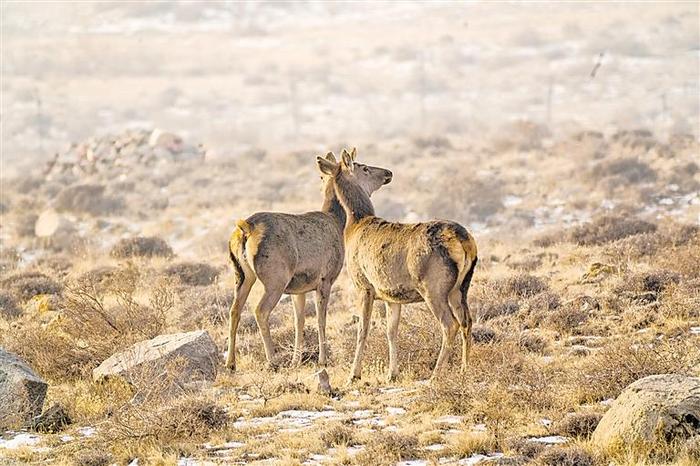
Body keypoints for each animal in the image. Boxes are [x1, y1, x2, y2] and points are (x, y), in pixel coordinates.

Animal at [226, 152, 394, 372]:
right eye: (364, 168)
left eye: (320, 178)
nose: (388, 173)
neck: (338, 222)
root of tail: (245, 229)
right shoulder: (326, 278)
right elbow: (321, 319)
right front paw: (323, 359)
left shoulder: (299, 288)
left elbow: (300, 321)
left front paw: (296, 360)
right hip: (275, 278)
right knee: (260, 310)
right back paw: (273, 361)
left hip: (242, 275)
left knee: (234, 310)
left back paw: (230, 363)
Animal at [316, 148, 476, 382]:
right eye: (365, 168)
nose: (388, 172)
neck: (354, 226)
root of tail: (464, 240)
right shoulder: (391, 295)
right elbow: (391, 331)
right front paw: (392, 374)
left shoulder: (364, 284)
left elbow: (363, 330)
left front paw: (354, 375)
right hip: (461, 287)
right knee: (467, 321)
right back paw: (465, 369)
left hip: (434, 286)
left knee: (450, 324)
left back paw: (435, 375)